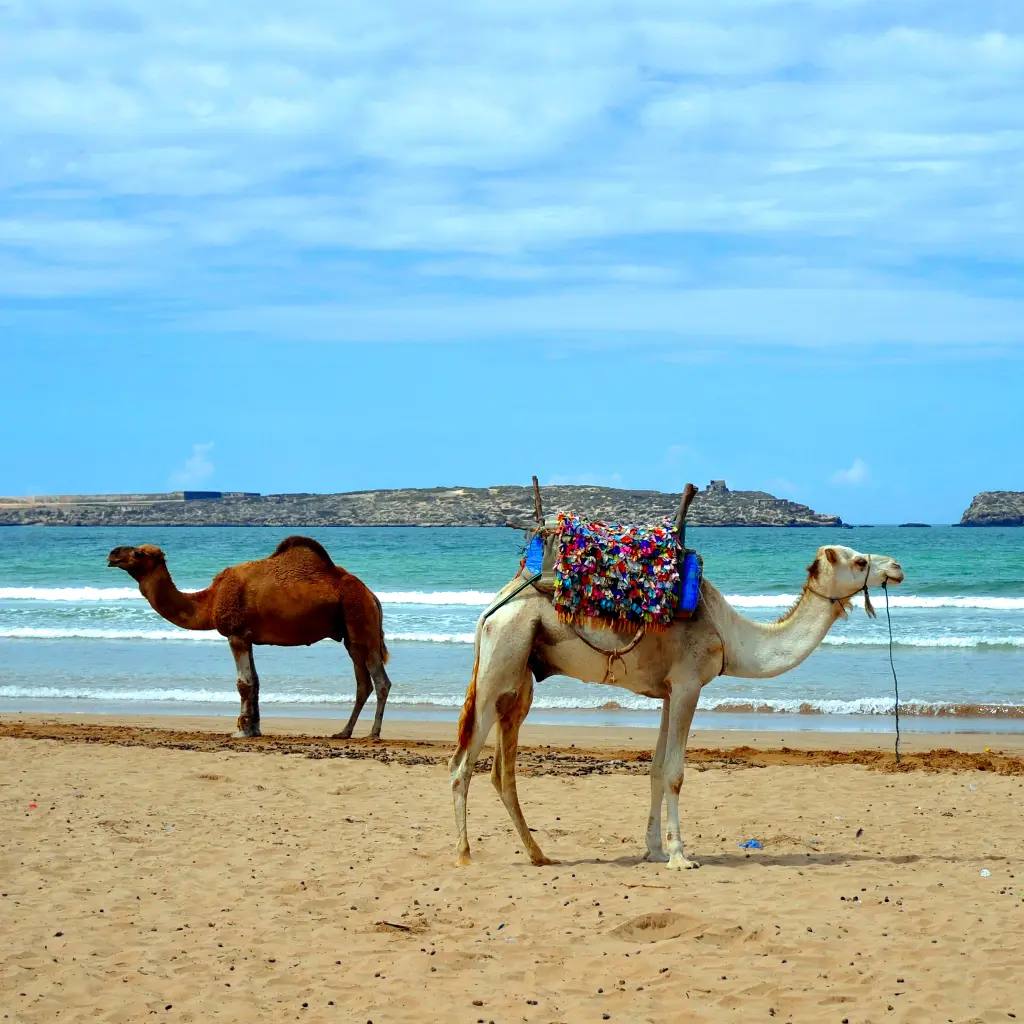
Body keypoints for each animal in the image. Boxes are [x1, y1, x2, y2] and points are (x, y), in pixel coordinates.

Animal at [105, 536, 389, 737]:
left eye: (139, 553)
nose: (112, 553)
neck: (210, 601)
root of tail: (371, 595)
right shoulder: (249, 637)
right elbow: (256, 681)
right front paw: (254, 729)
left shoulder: (236, 634)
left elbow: (244, 683)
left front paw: (241, 730)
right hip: (350, 633)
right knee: (363, 682)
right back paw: (344, 732)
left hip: (359, 618)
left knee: (380, 680)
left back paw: (373, 733)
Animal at [448, 540, 905, 868]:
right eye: (859, 562)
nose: (897, 568)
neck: (729, 634)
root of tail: (492, 610)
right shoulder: (688, 684)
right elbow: (675, 773)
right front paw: (681, 855)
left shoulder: (669, 691)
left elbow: (654, 770)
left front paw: (653, 849)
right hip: (501, 663)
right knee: (462, 764)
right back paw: (465, 854)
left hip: (520, 679)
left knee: (502, 772)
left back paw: (539, 855)